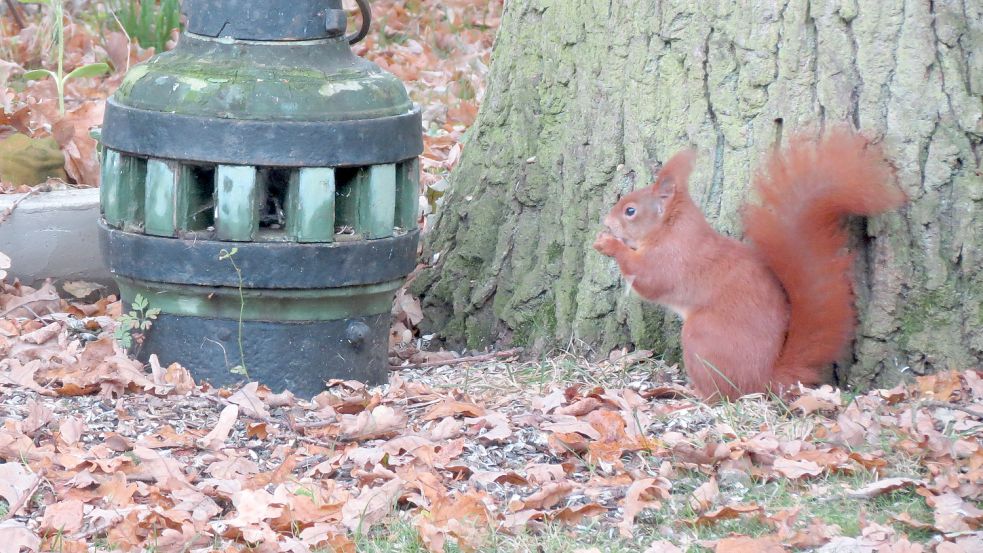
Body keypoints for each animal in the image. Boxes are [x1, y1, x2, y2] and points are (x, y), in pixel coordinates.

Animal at [592, 127, 908, 398]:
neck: (672, 228)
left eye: (630, 210)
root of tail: (764, 379)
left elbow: (648, 279)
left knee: (722, 395)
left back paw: (692, 394)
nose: (606, 221)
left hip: (701, 338)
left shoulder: (673, 258)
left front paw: (609, 244)